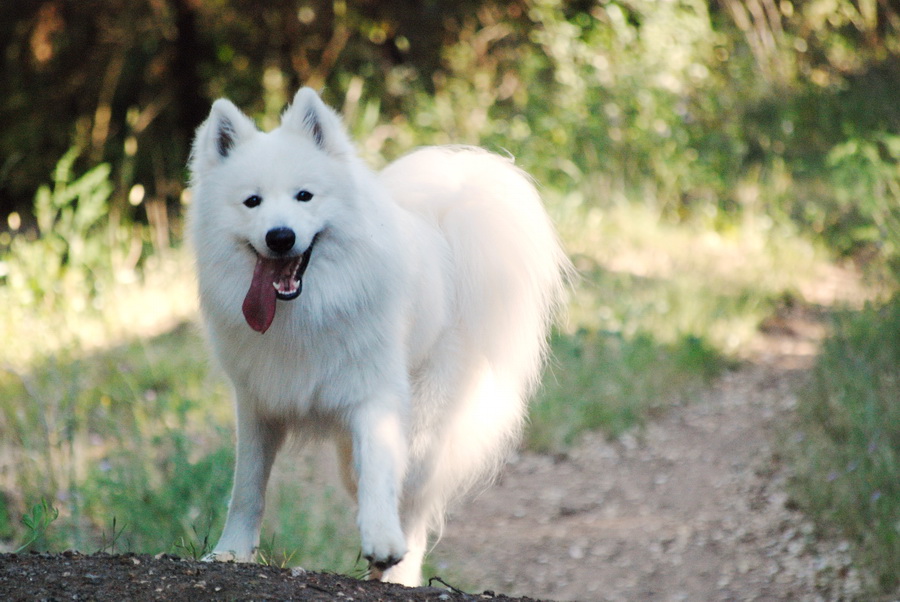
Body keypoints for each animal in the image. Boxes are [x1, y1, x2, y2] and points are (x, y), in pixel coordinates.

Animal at [187, 86, 568, 584]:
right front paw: (231, 552)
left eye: (305, 196)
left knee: (414, 511)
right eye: (252, 202)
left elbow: (381, 477)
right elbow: (247, 488)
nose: (280, 236)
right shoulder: (257, 404)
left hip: (424, 434)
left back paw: (399, 573)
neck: (308, 310)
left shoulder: (375, 396)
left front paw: (383, 542)